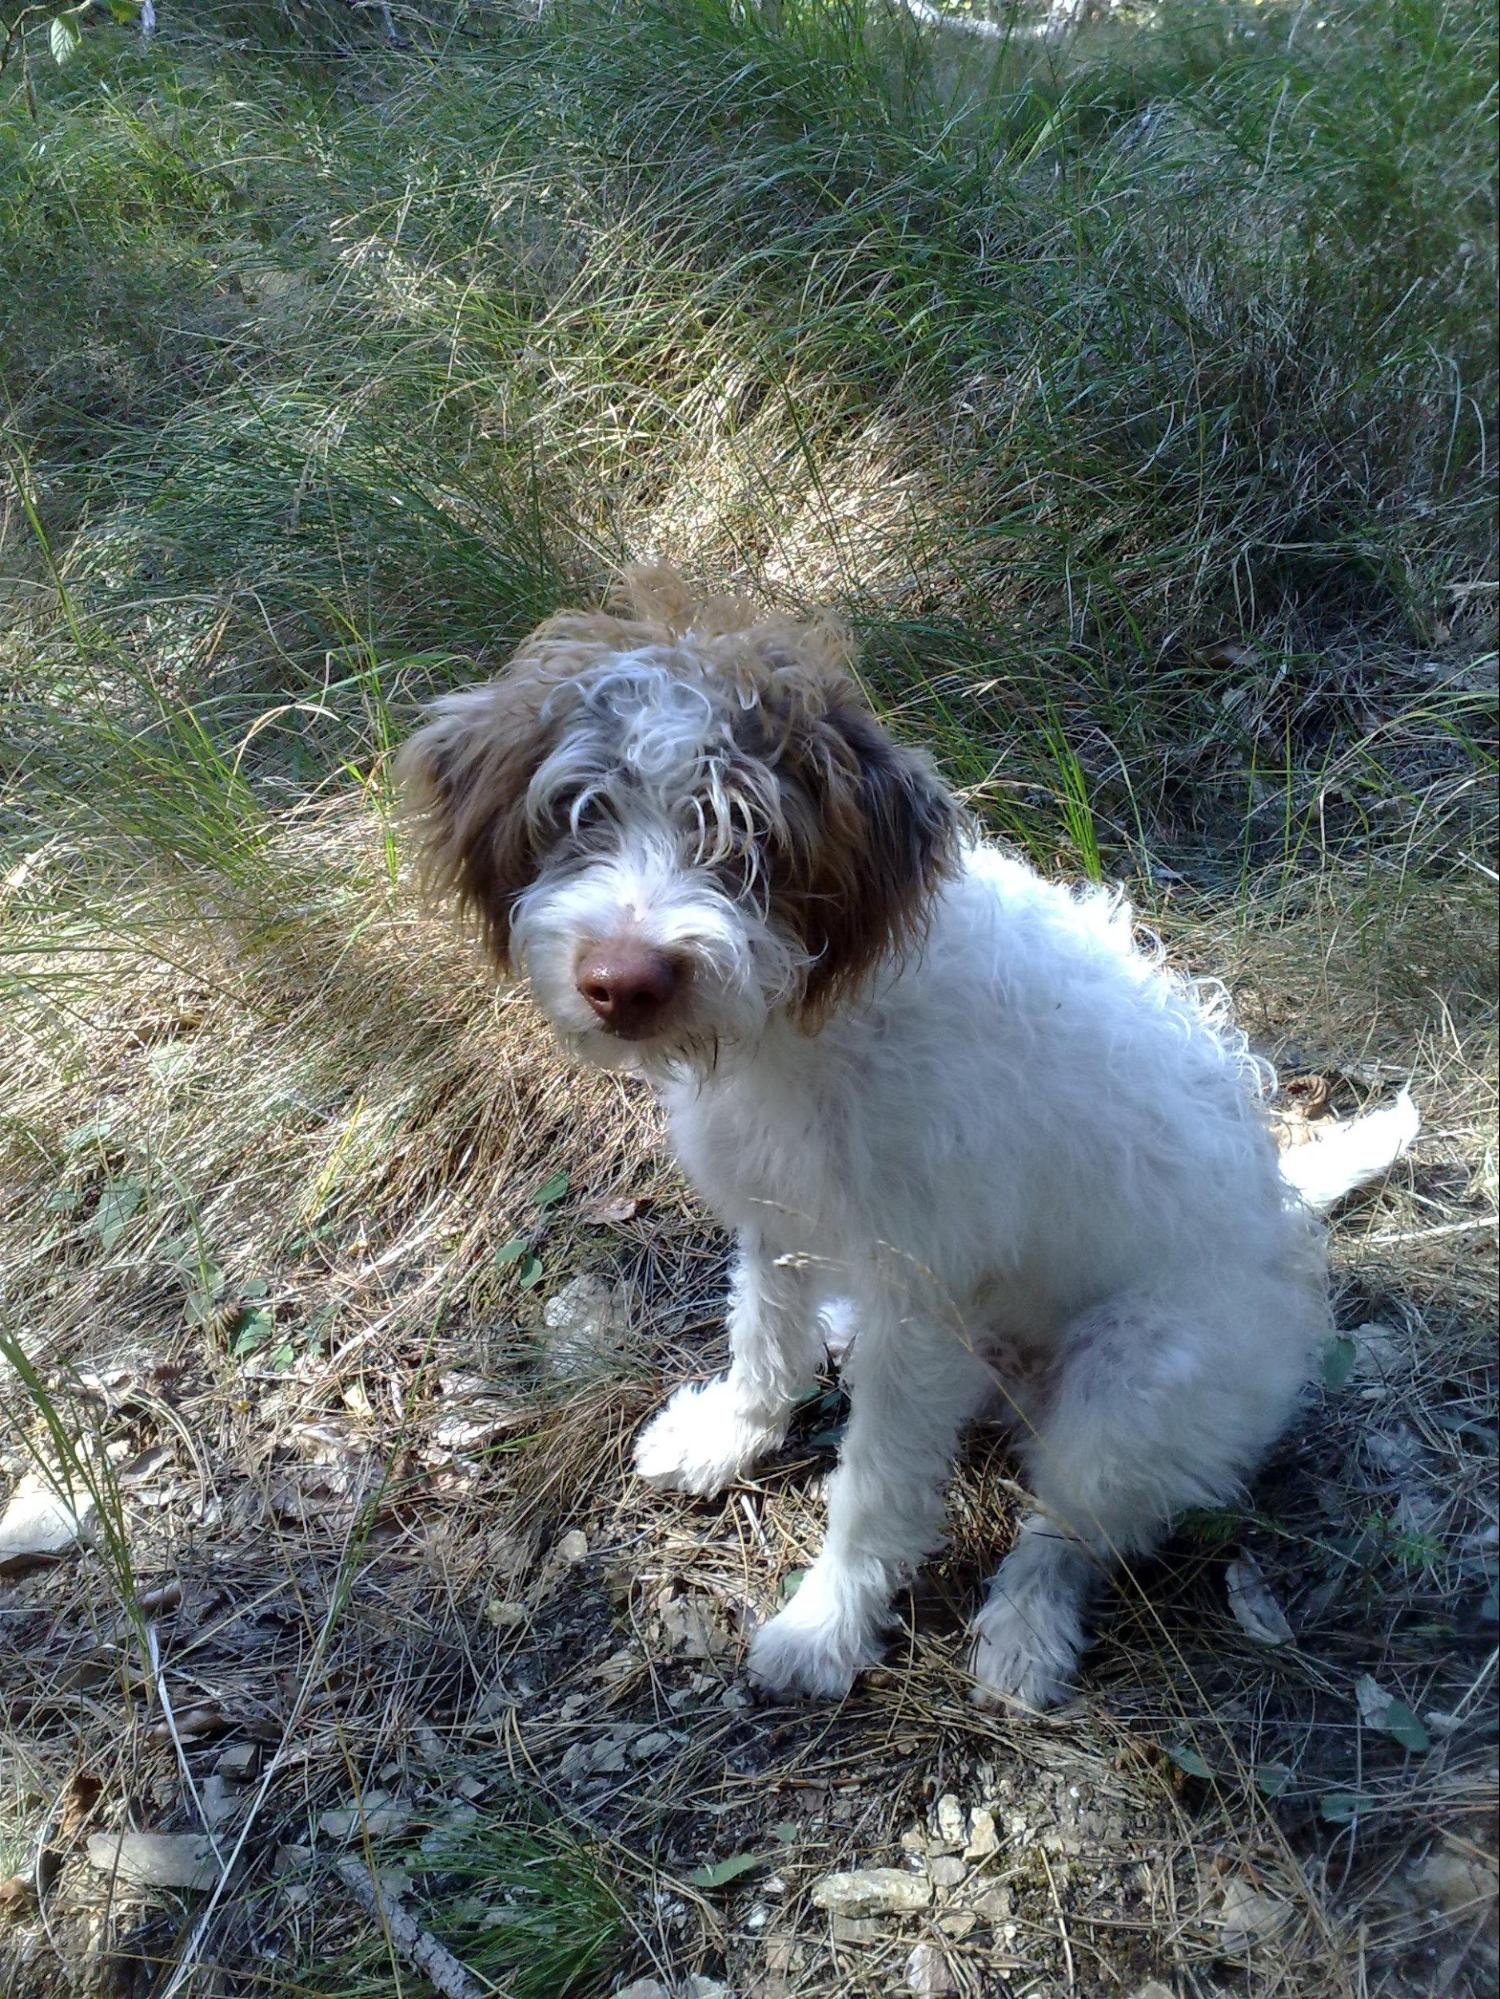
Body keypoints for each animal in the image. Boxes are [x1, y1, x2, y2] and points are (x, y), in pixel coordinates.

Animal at [396, 571, 1424, 1711]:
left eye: (747, 836)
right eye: (581, 810)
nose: (623, 981)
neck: (804, 1029)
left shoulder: (919, 1308)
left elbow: (876, 1490)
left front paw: (826, 1625)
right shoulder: (778, 1221)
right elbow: (763, 1343)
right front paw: (730, 1435)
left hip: (1130, 1392)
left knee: (1072, 1532)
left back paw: (1026, 1629)